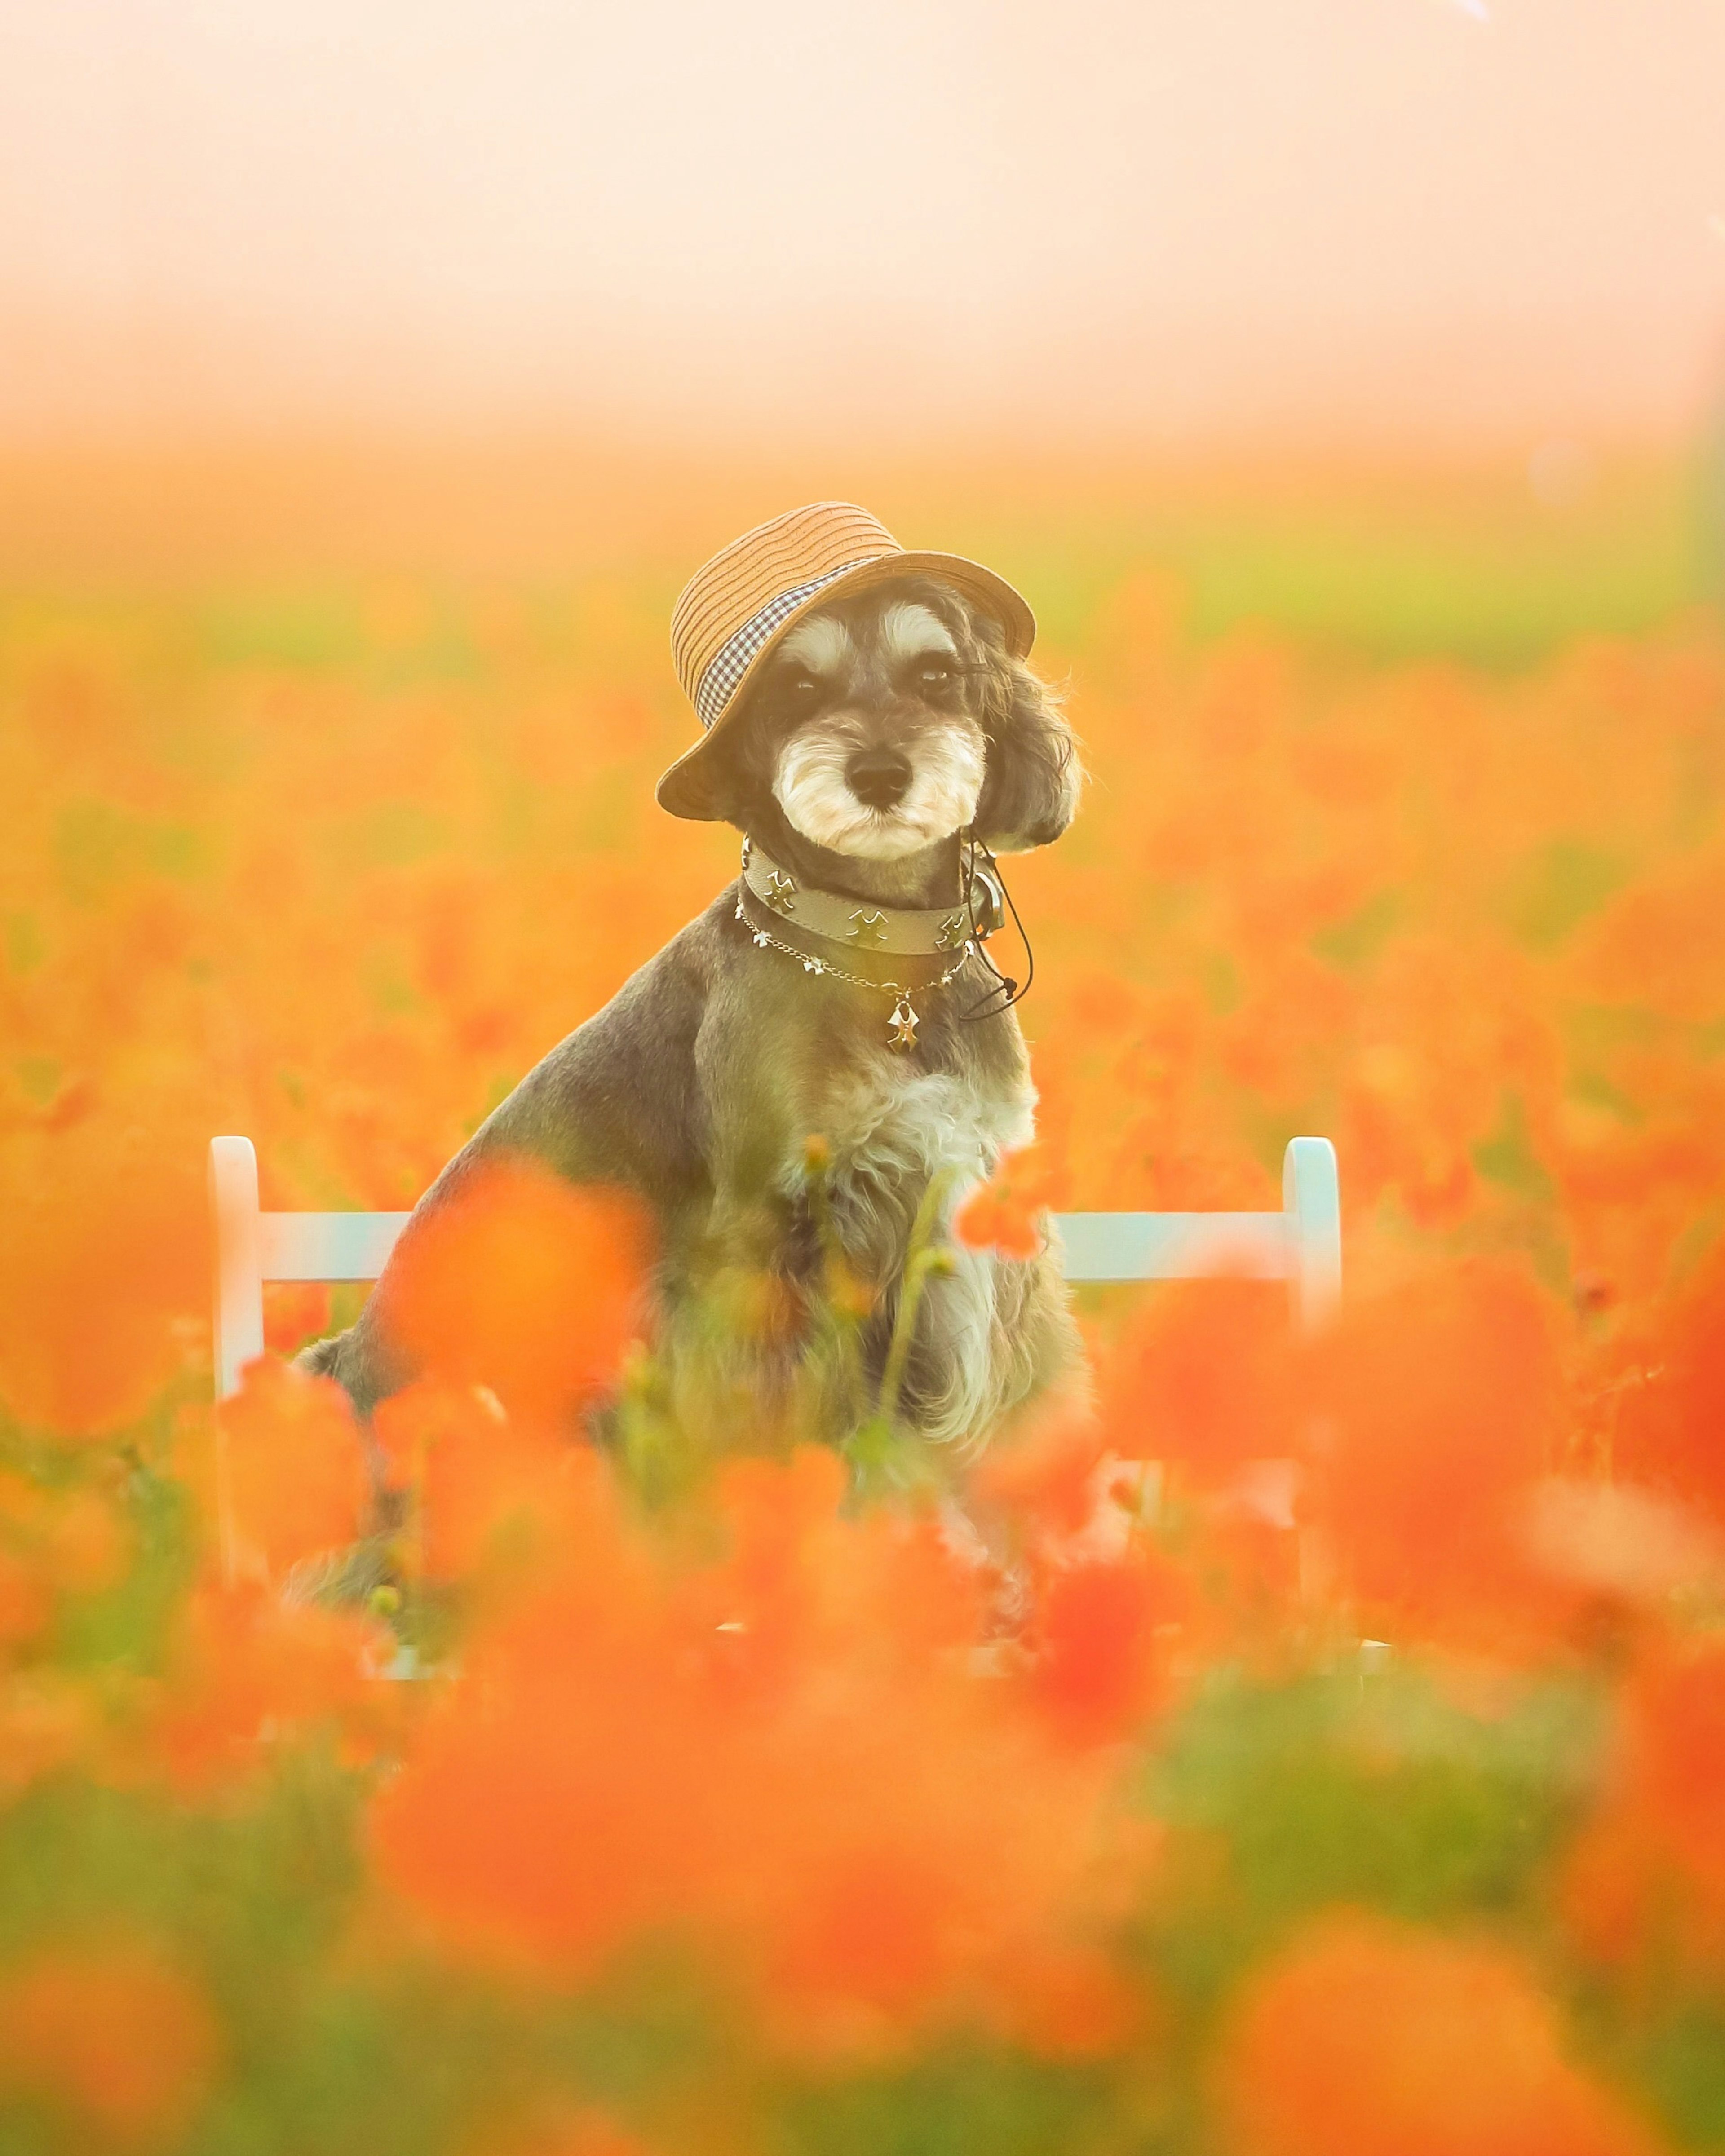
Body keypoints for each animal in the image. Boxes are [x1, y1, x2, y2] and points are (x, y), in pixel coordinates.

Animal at [297, 498, 1078, 1457]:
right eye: (798, 691)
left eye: (935, 673)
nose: (880, 775)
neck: (878, 963)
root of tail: (338, 1370)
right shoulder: (770, 1233)